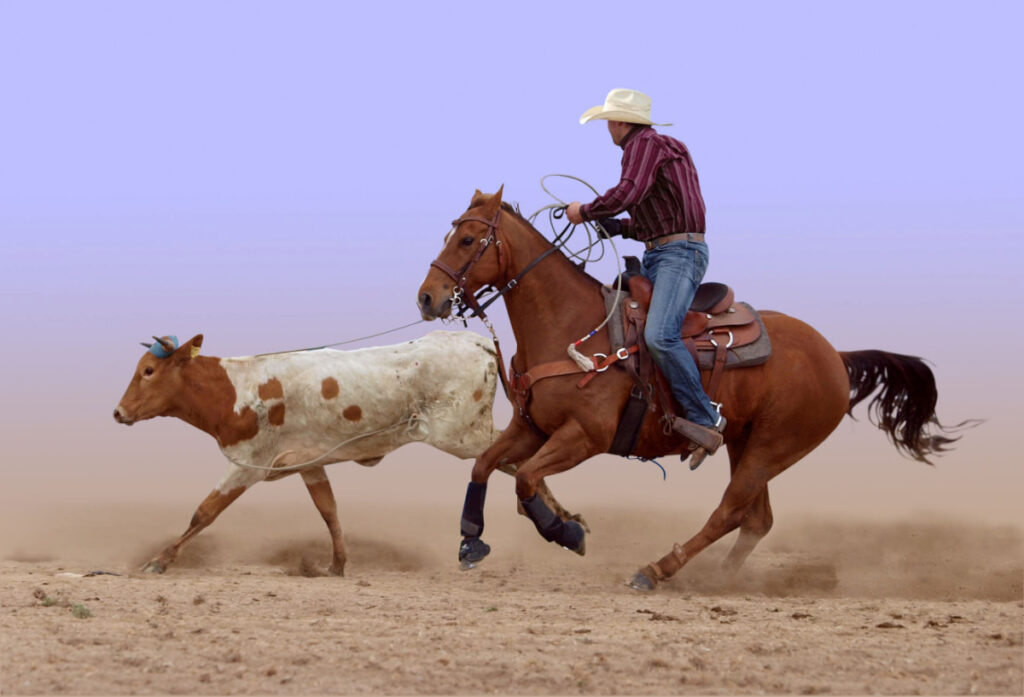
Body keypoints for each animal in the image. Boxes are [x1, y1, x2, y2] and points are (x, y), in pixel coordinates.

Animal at [115, 331, 581, 577]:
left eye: (148, 371)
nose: (119, 412)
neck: (235, 390)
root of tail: (476, 339)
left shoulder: (249, 464)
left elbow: (204, 512)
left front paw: (160, 560)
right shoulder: (308, 463)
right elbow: (329, 511)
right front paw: (336, 565)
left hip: (461, 433)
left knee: (511, 459)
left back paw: (560, 520)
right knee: (514, 459)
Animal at [415, 187, 958, 589]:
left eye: (468, 240)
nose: (427, 297)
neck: (574, 326)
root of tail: (836, 357)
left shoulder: (585, 436)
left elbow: (525, 478)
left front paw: (567, 531)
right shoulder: (532, 428)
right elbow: (487, 465)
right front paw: (471, 540)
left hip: (772, 447)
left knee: (730, 511)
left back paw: (657, 570)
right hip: (746, 443)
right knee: (756, 519)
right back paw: (720, 579)